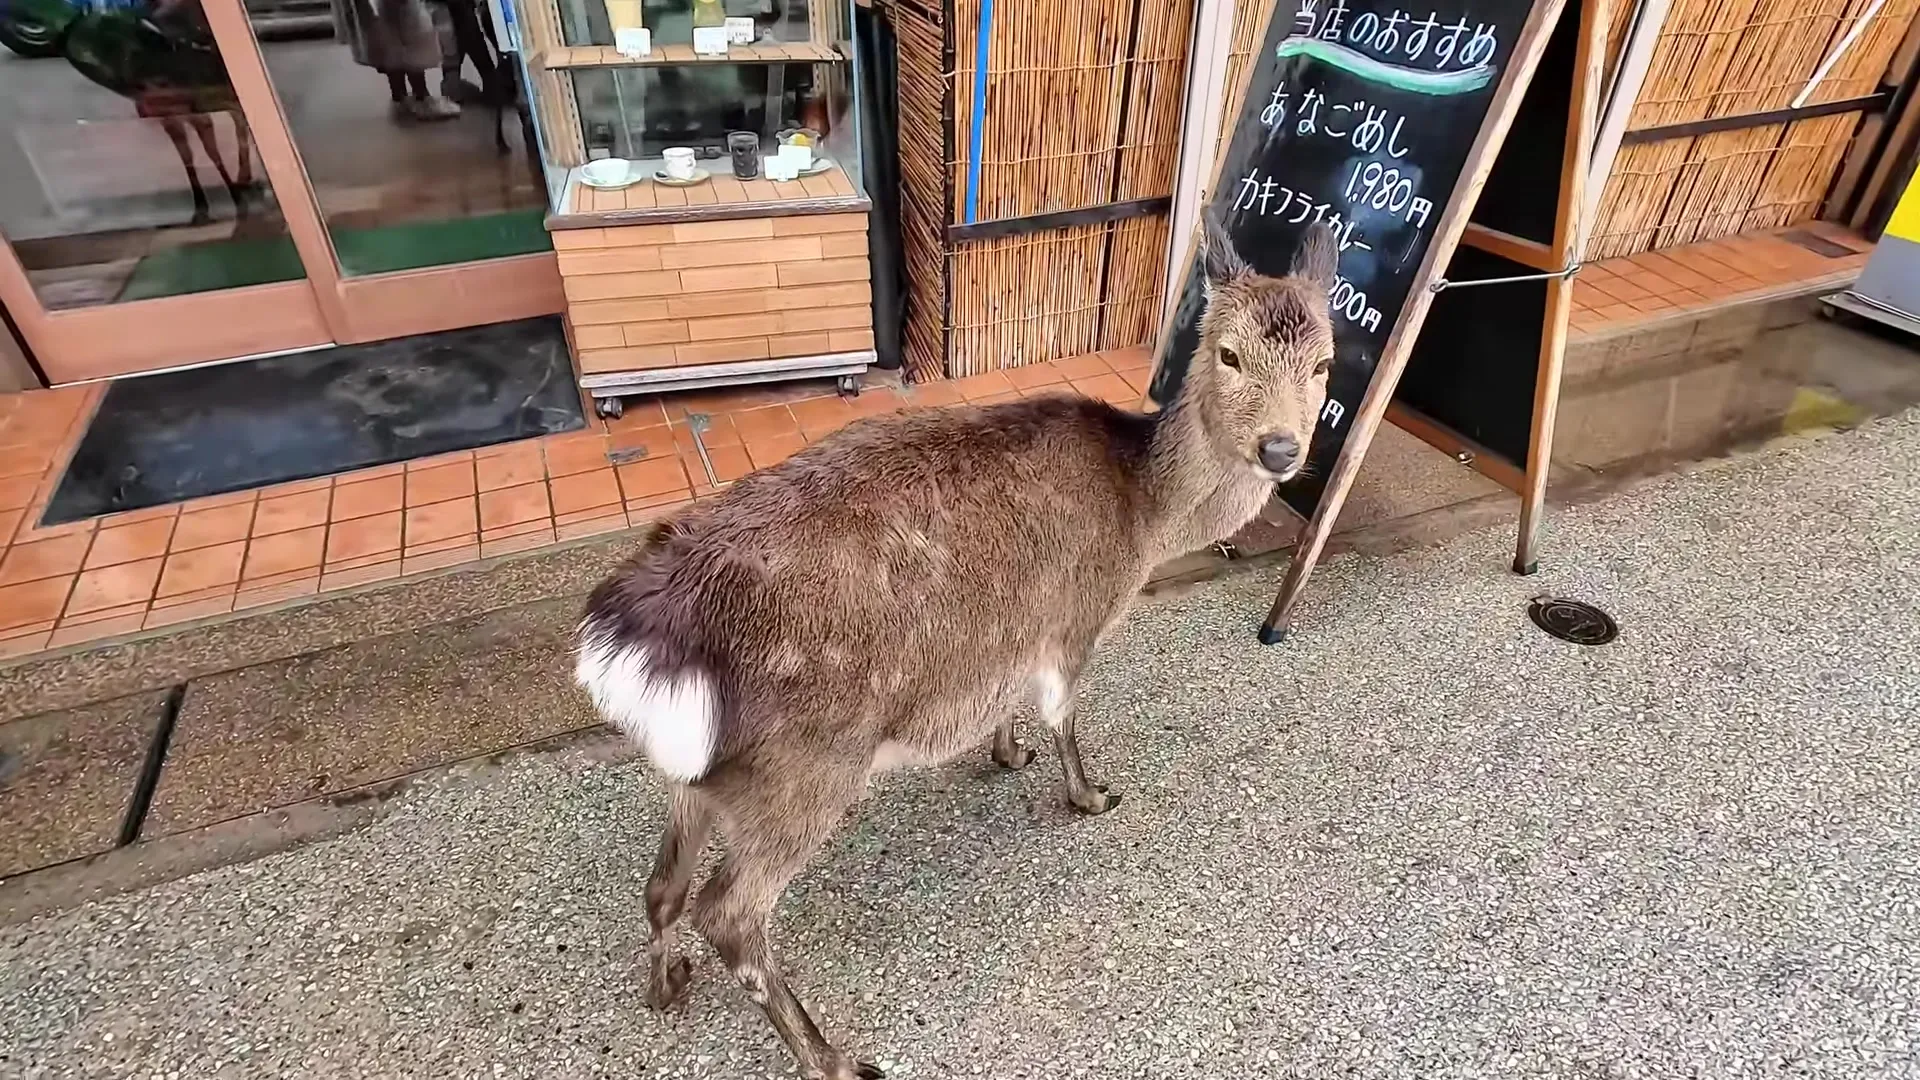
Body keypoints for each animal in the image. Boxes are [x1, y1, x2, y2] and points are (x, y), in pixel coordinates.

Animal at [572, 214, 1336, 1068]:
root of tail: (628, 640)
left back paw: (665, 984)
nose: (1281, 449)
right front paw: (1090, 794)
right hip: (803, 768)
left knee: (661, 886)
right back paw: (832, 1058)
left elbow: (1008, 700)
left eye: (1325, 361)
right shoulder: (1075, 617)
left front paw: (1007, 753)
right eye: (1228, 352)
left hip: (699, 774)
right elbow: (1064, 717)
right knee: (729, 913)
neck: (1144, 517)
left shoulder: (1014, 635)